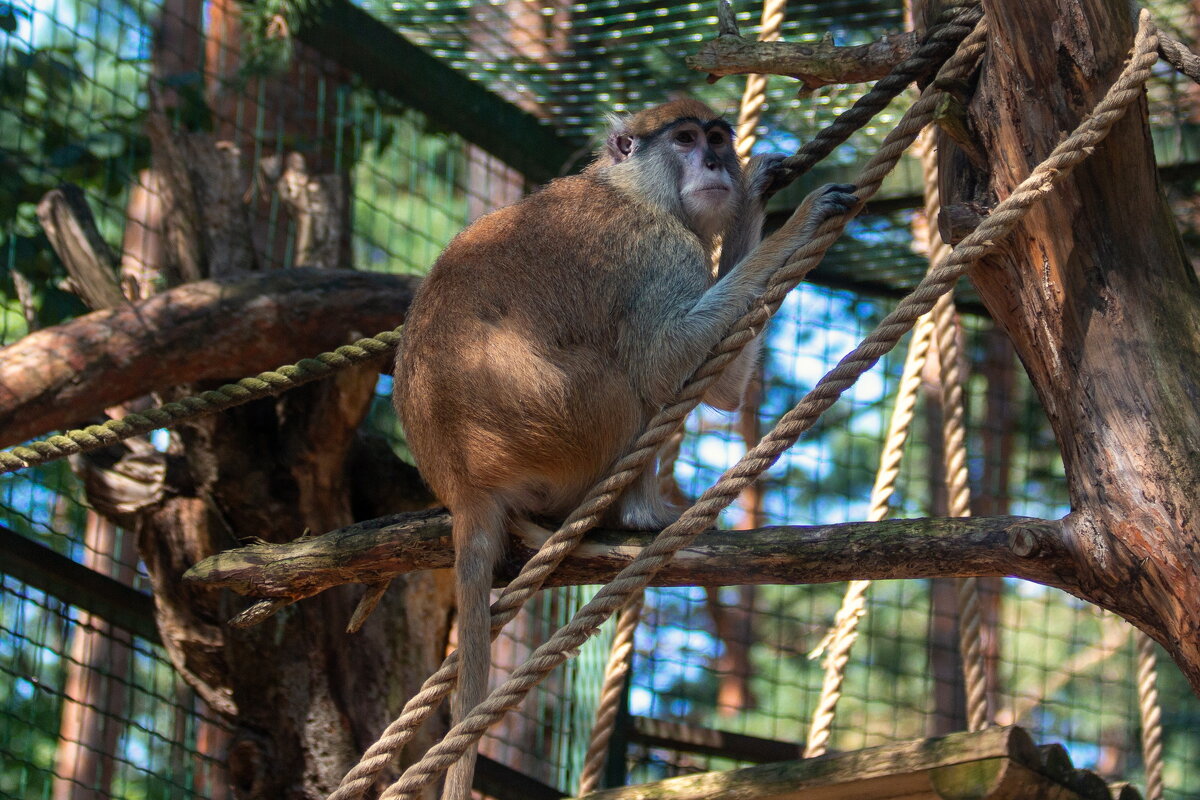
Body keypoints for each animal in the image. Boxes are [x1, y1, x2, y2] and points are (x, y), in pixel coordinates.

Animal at [393, 97, 854, 796]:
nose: (716, 163)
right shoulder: (654, 247)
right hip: (560, 424)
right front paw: (798, 218)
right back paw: (638, 513)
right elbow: (665, 361)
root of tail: (464, 484)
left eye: (717, 138)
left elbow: (718, 386)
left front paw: (755, 194)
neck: (630, 186)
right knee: (624, 382)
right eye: (686, 139)